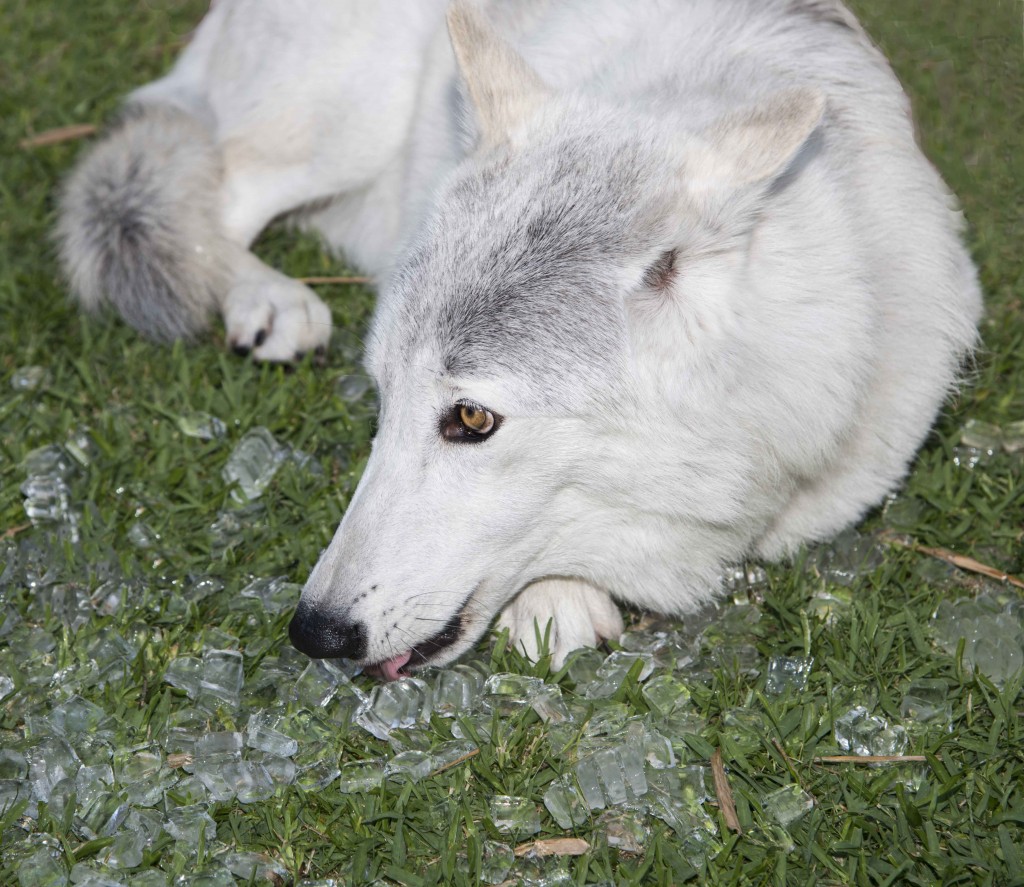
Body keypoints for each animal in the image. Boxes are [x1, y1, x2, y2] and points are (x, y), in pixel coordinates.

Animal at [58, 0, 983, 676]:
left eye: (471, 419)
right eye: (382, 400)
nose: (315, 632)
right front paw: (558, 598)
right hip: (342, 118)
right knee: (216, 182)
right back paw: (270, 299)